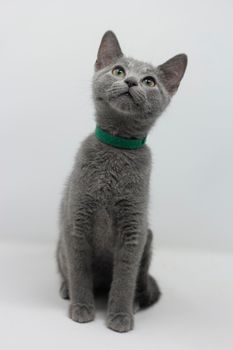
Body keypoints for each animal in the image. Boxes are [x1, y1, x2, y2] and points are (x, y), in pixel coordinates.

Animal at [56, 29, 187, 330]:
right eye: (118, 70)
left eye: (149, 81)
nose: (130, 81)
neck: (117, 149)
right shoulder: (76, 219)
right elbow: (79, 270)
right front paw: (82, 308)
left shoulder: (134, 228)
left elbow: (125, 278)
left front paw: (119, 316)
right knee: (68, 272)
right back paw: (67, 290)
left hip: (149, 240)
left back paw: (135, 304)